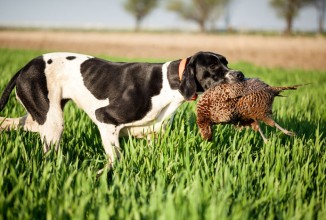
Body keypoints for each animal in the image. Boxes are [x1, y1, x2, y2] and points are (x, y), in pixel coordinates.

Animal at [0, 51, 244, 168]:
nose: (240, 74)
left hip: (41, 118)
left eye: (226, 62)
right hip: (53, 123)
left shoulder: (153, 136)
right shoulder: (105, 120)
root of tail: (25, 67)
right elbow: (115, 160)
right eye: (213, 66)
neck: (169, 82)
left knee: (13, 122)